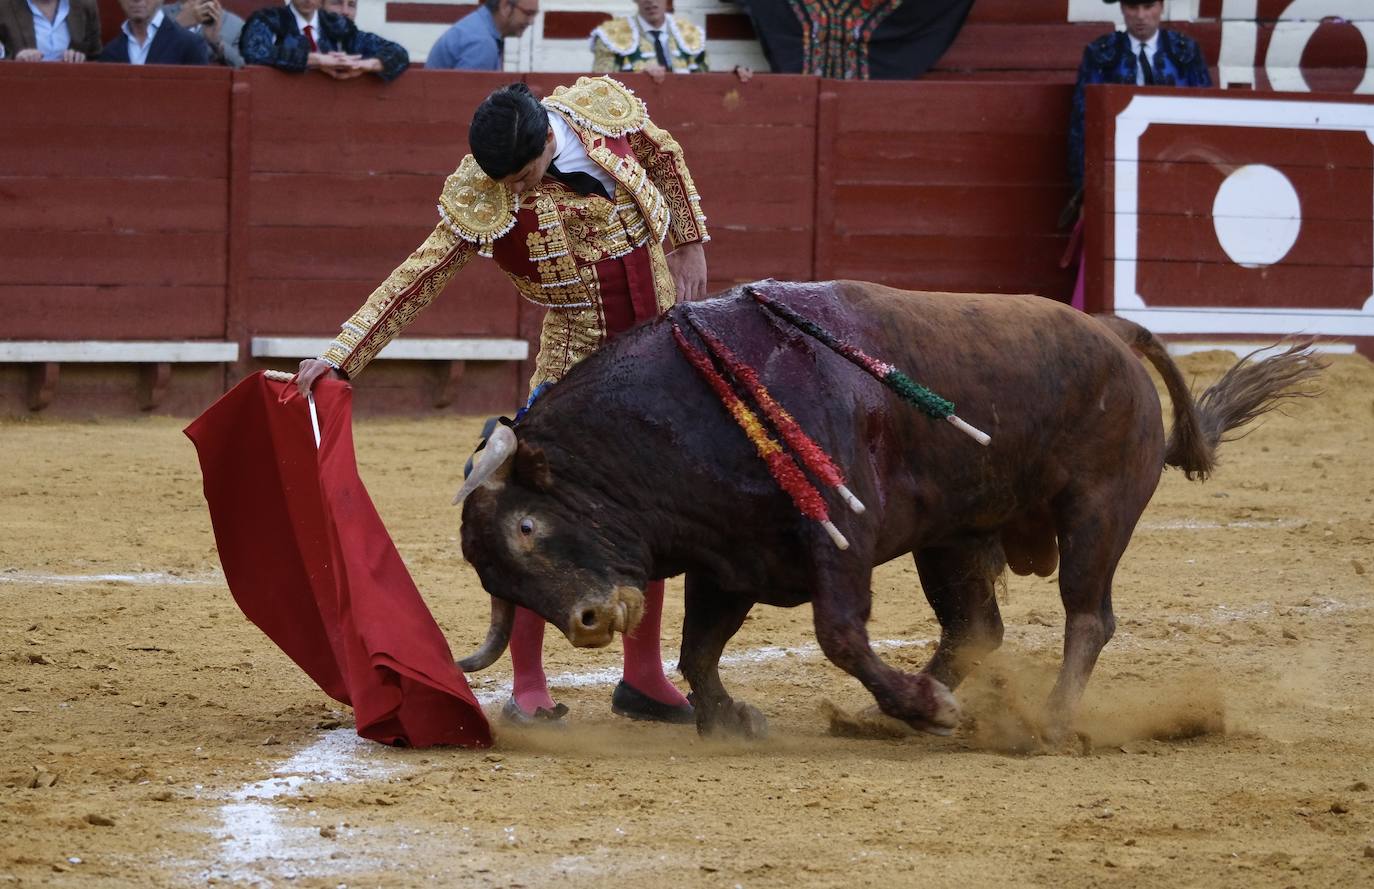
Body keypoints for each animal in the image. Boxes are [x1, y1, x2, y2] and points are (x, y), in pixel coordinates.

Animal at [450, 281, 1319, 741]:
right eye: (499, 580)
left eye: (527, 528)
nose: (591, 620)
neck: (686, 413)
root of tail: (1111, 330)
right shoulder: (731, 557)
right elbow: (699, 648)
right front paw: (731, 720)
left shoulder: (840, 531)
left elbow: (838, 631)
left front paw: (923, 705)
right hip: (956, 539)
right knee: (976, 626)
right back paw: (919, 708)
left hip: (1096, 513)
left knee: (1087, 616)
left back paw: (1044, 718)